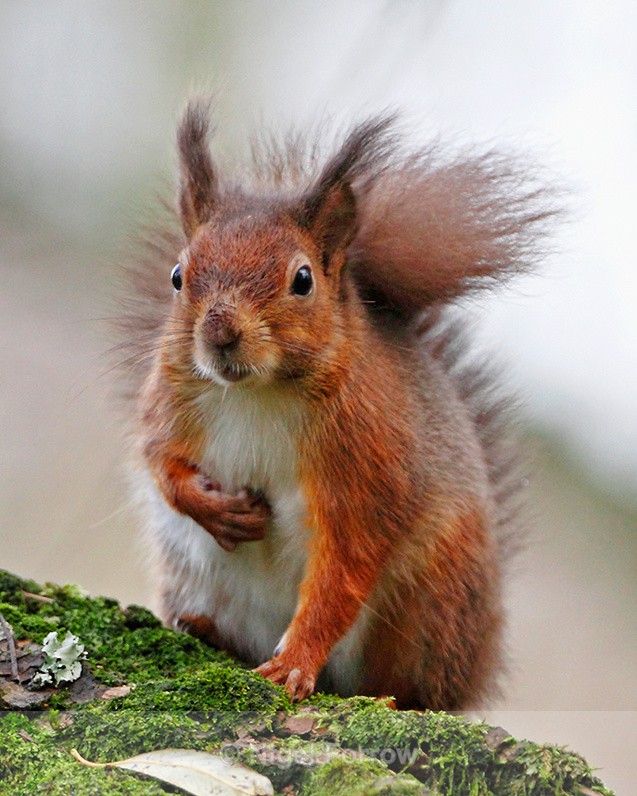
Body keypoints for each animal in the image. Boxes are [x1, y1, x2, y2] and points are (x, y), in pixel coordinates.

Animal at [116, 99, 553, 710]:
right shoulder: (170, 403)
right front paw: (218, 509)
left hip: (426, 599)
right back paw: (205, 628)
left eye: (302, 280)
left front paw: (294, 665)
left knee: (412, 683)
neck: (258, 392)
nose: (220, 333)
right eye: (178, 276)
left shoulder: (368, 466)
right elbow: (161, 463)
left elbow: (340, 574)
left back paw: (389, 697)